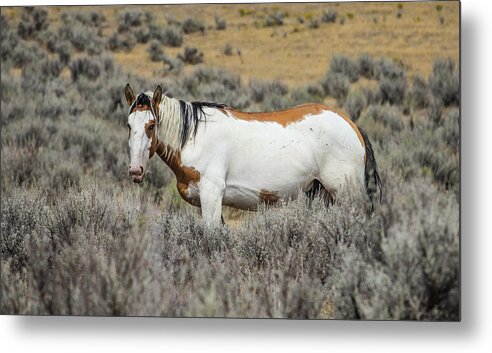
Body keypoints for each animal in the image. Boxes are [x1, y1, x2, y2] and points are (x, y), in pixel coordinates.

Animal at [125, 82, 382, 226]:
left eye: (151, 125)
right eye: (128, 124)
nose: (135, 171)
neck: (194, 137)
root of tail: (353, 126)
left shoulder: (211, 195)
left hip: (347, 195)